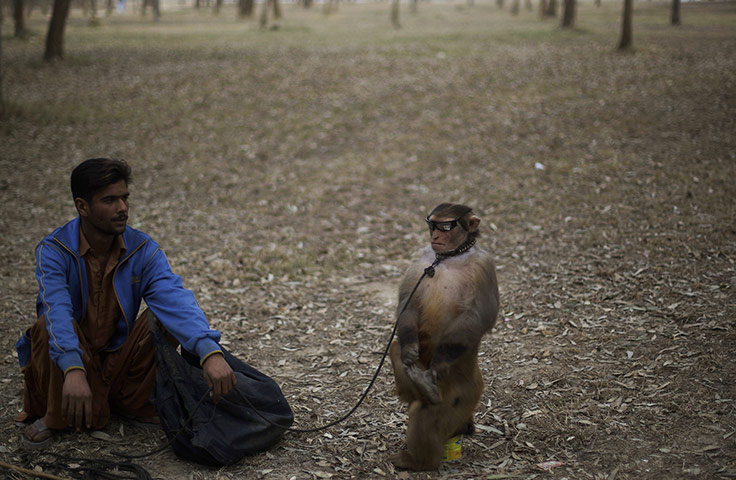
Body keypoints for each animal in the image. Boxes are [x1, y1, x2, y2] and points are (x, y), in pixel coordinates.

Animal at [388, 203, 499, 471]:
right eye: (432, 226)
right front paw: (409, 348)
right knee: (396, 350)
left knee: (427, 416)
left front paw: (438, 363)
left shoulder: (485, 266)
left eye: (446, 227)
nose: (436, 237)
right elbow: (407, 304)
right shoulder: (422, 258)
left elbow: (477, 316)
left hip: (464, 396)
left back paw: (419, 461)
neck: (450, 257)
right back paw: (418, 386)